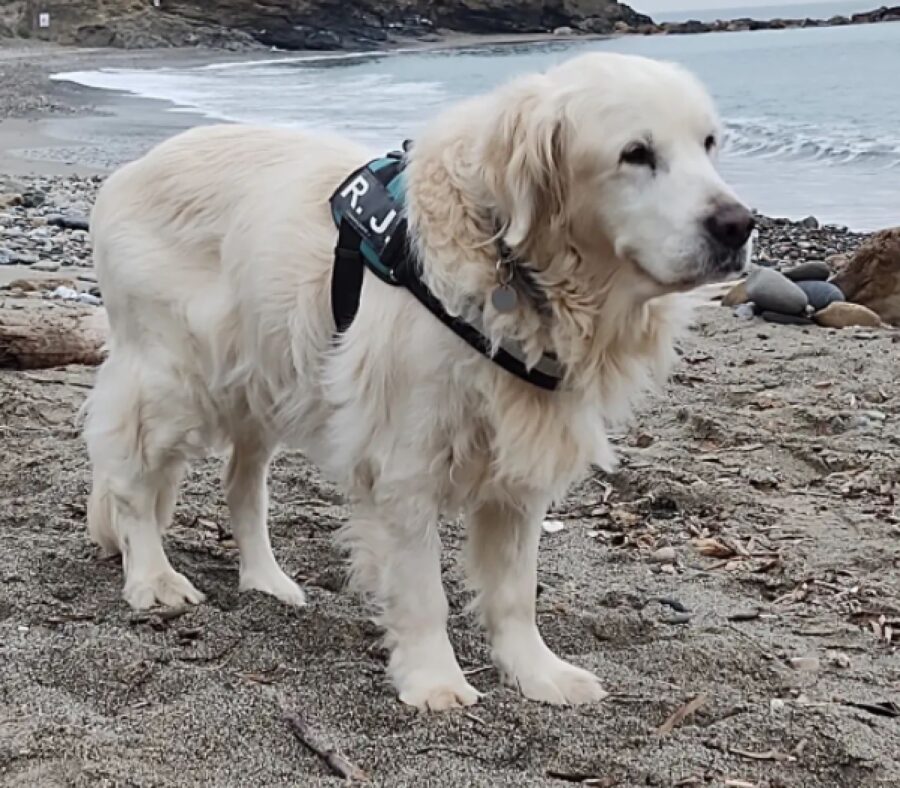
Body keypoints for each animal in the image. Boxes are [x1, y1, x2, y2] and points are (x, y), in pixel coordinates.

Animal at [84, 52, 752, 712]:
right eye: (636, 153)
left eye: (709, 143)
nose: (739, 225)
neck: (516, 276)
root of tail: (125, 174)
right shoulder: (405, 462)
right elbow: (424, 590)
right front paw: (434, 680)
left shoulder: (521, 466)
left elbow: (516, 590)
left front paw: (538, 673)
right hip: (170, 379)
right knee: (130, 483)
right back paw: (154, 579)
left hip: (264, 380)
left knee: (242, 486)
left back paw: (267, 581)